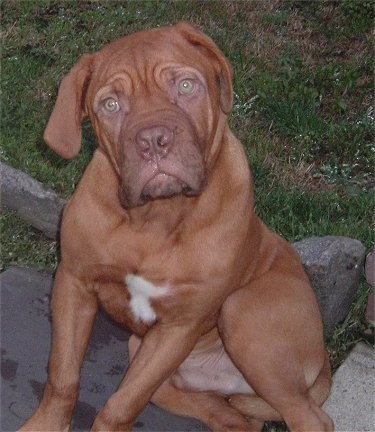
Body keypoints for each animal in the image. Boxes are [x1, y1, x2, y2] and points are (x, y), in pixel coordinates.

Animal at [20, 22, 334, 430]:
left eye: (186, 86)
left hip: (242, 315)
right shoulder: (74, 282)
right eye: (110, 105)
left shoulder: (180, 326)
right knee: (235, 418)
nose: (153, 140)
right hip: (151, 358)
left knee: (310, 416)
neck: (155, 218)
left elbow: (120, 406)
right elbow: (63, 375)